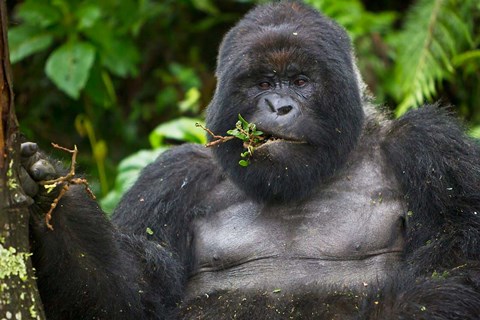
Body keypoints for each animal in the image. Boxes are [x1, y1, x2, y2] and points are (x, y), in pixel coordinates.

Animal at [20, 0, 480, 320]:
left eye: (300, 81)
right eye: (262, 83)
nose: (278, 106)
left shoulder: (429, 147)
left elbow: (456, 266)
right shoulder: (174, 176)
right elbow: (129, 297)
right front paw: (57, 203)